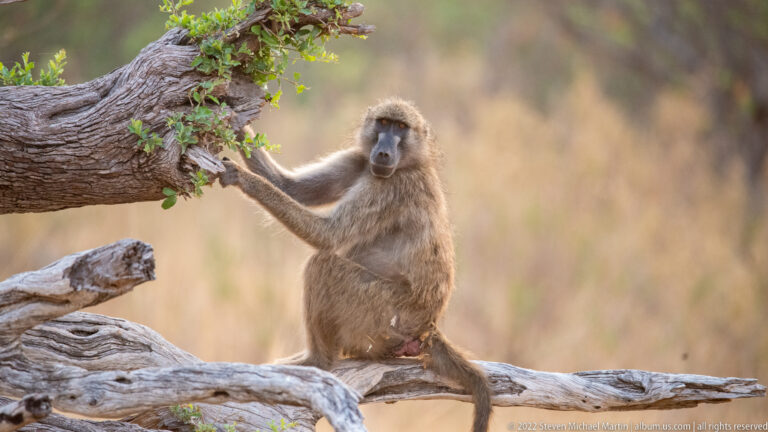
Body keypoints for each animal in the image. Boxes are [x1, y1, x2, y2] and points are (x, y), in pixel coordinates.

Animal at [218, 98, 492, 432]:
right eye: (383, 123)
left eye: (401, 128)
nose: (384, 152)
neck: (409, 163)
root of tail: (429, 326)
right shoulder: (357, 161)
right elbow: (292, 188)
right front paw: (233, 117)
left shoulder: (392, 186)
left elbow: (328, 235)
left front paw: (242, 179)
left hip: (386, 316)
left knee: (322, 266)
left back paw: (316, 362)